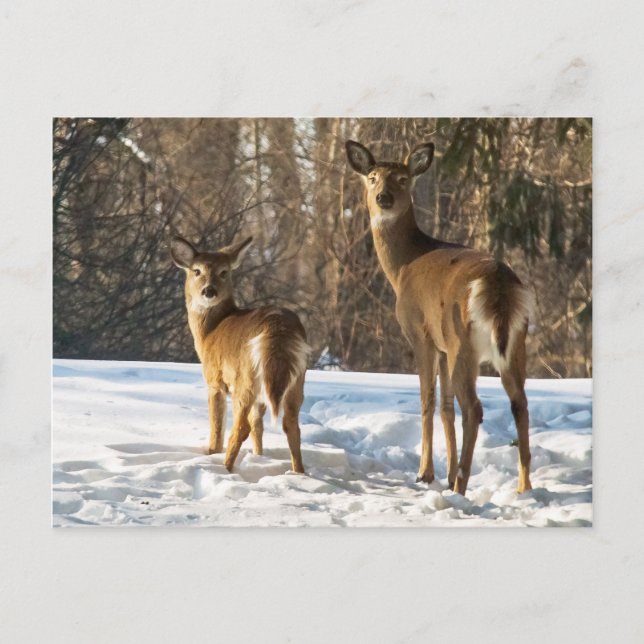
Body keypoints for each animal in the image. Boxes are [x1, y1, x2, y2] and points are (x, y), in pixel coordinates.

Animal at [170, 234, 310, 474]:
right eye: (197, 270)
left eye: (224, 272)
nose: (209, 291)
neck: (209, 333)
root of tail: (278, 329)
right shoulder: (261, 397)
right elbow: (258, 425)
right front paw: (259, 456)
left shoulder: (215, 379)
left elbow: (217, 426)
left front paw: (211, 452)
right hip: (296, 379)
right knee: (290, 424)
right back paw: (299, 472)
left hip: (245, 378)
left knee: (240, 426)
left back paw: (225, 468)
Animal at [346, 140, 533, 496]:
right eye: (373, 177)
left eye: (403, 178)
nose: (383, 198)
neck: (402, 267)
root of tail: (498, 286)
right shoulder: (444, 347)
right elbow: (446, 408)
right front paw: (444, 473)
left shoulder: (422, 334)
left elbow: (427, 401)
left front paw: (426, 473)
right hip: (515, 344)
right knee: (519, 403)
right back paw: (523, 486)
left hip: (464, 342)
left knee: (474, 407)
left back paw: (462, 485)